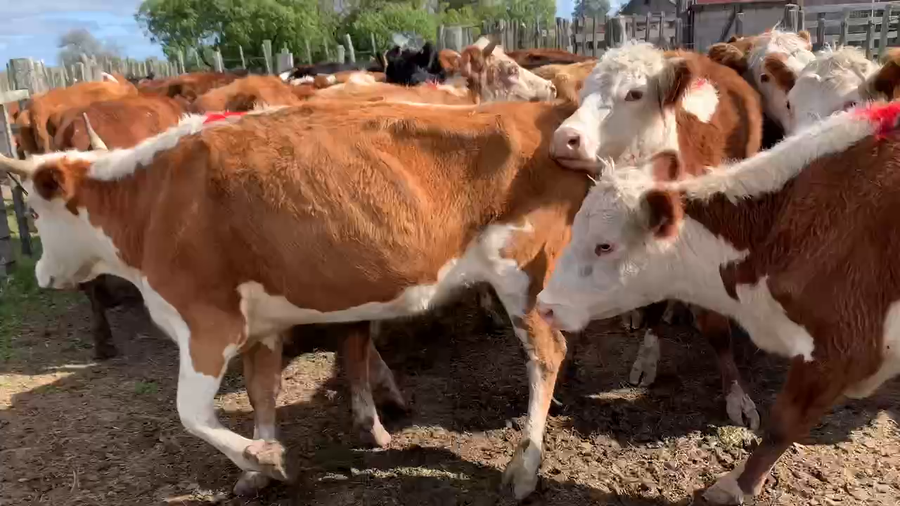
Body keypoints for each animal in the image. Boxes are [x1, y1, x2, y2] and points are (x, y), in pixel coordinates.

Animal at [548, 41, 764, 428]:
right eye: (584, 93)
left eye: (634, 93)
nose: (563, 139)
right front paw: (646, 357)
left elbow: (716, 328)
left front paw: (737, 394)